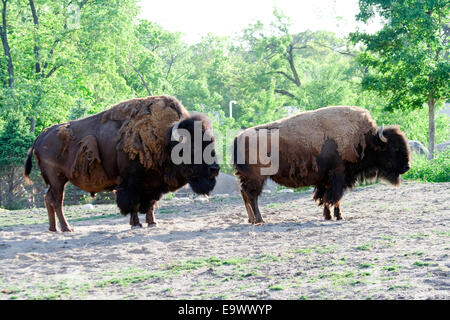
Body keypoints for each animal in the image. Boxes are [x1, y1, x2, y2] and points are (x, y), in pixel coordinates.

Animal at [24, 95, 220, 232]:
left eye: (211, 143)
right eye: (193, 148)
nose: (215, 168)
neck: (165, 138)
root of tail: (41, 136)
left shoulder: (152, 184)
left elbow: (150, 204)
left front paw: (152, 223)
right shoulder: (131, 184)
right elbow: (132, 204)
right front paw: (136, 224)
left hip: (56, 182)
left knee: (49, 199)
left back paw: (53, 228)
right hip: (58, 180)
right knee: (56, 200)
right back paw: (67, 228)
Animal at [234, 106, 410, 224]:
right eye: (394, 148)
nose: (407, 167)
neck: (364, 139)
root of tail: (239, 137)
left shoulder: (326, 179)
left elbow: (325, 198)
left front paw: (328, 215)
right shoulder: (338, 176)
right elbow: (335, 198)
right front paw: (339, 216)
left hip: (247, 178)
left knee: (244, 194)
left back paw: (251, 220)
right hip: (257, 177)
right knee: (252, 196)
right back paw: (259, 220)